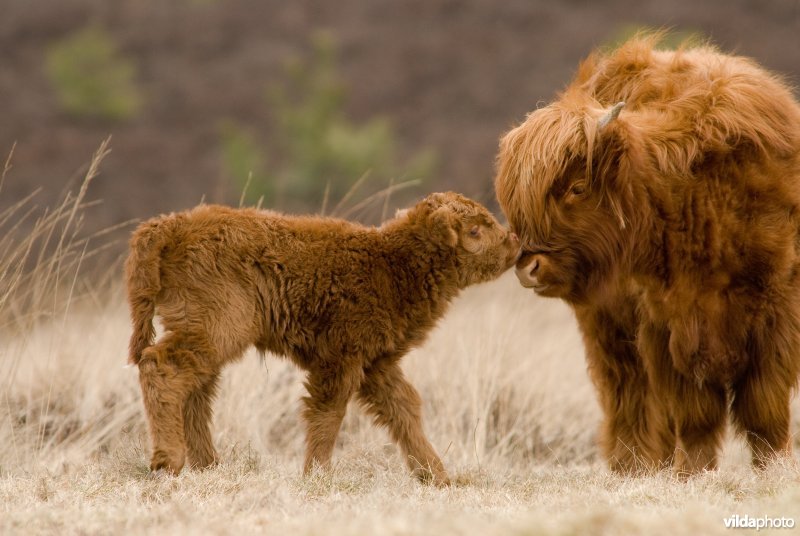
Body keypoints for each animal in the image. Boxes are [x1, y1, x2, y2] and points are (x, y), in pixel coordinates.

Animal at [126, 191, 520, 484]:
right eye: (475, 230)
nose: (514, 241)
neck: (392, 263)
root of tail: (173, 225)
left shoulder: (377, 364)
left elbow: (404, 411)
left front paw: (438, 477)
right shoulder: (340, 359)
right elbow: (328, 414)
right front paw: (317, 475)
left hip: (206, 335)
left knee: (196, 391)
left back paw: (208, 465)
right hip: (217, 328)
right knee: (162, 366)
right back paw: (168, 461)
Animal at [494, 35, 800, 476]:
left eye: (578, 187)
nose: (528, 268)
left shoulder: (777, 314)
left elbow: (764, 407)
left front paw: (773, 467)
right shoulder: (667, 325)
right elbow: (694, 414)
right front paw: (692, 472)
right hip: (609, 326)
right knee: (628, 392)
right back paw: (632, 461)